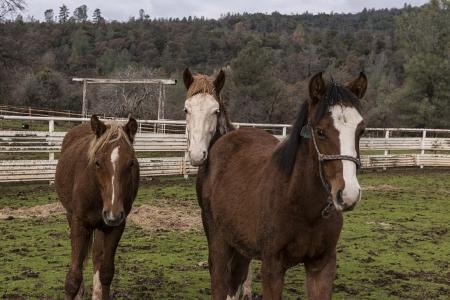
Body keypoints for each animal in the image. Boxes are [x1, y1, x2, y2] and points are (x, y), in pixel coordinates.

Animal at [56, 115, 141, 300]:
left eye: (131, 163)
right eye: (97, 162)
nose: (113, 214)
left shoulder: (115, 227)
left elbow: (106, 272)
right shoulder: (80, 224)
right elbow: (73, 278)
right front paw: (77, 290)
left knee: (96, 256)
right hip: (72, 217)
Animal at [200, 71, 366, 298]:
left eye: (361, 130)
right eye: (320, 131)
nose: (348, 195)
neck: (301, 203)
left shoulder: (322, 265)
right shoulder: (272, 267)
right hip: (219, 242)